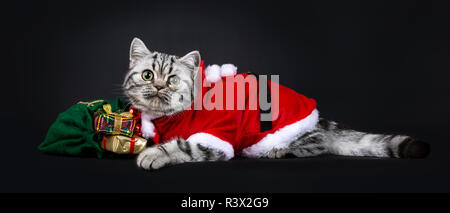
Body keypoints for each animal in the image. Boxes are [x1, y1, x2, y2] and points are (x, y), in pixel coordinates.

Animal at [122, 37, 428, 171]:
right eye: (148, 75)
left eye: (172, 79)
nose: (159, 86)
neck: (166, 118)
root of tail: (319, 118)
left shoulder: (214, 138)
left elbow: (181, 145)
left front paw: (153, 154)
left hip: (291, 132)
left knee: (319, 144)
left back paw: (279, 150)